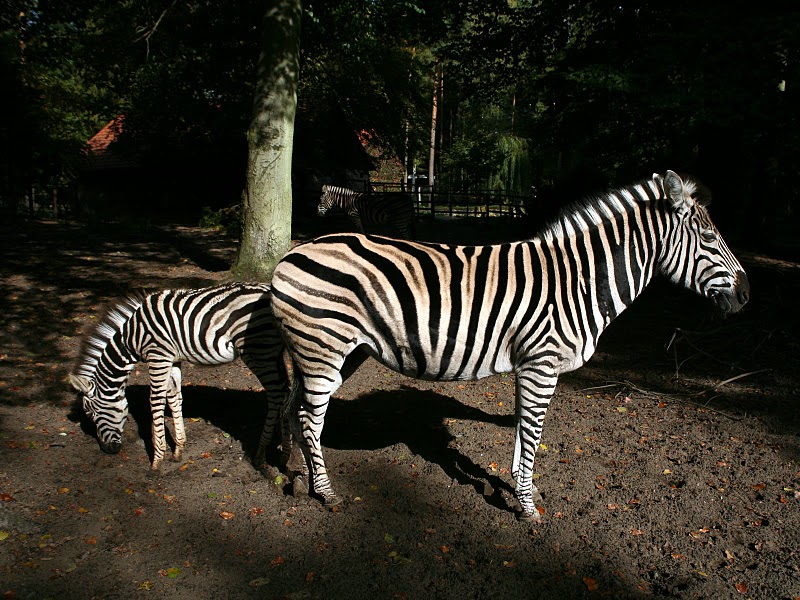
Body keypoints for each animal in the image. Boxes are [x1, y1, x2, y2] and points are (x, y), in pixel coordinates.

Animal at [70, 282, 290, 471]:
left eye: (91, 413)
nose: (108, 450)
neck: (131, 338)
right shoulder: (173, 359)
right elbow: (174, 397)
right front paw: (178, 450)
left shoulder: (158, 355)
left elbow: (156, 401)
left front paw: (157, 460)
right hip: (273, 352)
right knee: (287, 391)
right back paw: (284, 454)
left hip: (258, 350)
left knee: (277, 394)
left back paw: (260, 454)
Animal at [270, 170, 750, 521]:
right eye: (710, 239)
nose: (746, 295)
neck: (578, 280)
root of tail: (293, 252)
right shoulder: (542, 362)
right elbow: (533, 431)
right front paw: (528, 508)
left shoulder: (530, 366)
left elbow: (523, 430)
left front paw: (523, 488)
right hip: (323, 347)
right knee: (310, 419)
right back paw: (327, 493)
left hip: (336, 351)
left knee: (295, 410)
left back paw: (298, 477)